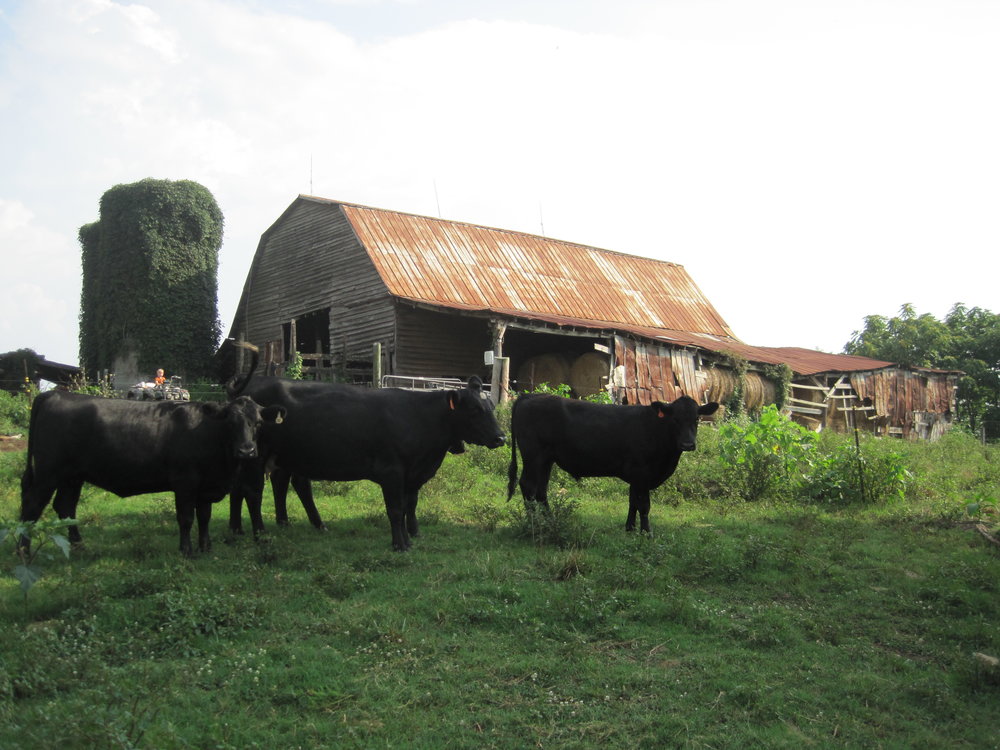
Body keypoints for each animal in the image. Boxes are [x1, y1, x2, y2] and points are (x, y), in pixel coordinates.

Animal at [20, 391, 287, 556]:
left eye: (258, 423)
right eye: (230, 423)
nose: (247, 450)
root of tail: (55, 394)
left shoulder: (205, 486)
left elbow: (204, 517)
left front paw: (206, 547)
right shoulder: (185, 482)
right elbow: (186, 518)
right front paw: (187, 550)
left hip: (72, 476)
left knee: (66, 507)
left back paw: (78, 546)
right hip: (48, 473)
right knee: (32, 506)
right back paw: (23, 550)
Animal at [226, 375, 506, 551]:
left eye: (491, 406)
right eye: (475, 410)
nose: (501, 437)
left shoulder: (411, 475)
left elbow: (409, 507)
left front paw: (410, 538)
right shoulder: (392, 472)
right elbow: (396, 510)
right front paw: (400, 545)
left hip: (280, 456)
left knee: (269, 486)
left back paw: (246, 528)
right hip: (256, 455)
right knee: (253, 491)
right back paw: (260, 533)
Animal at [506, 394, 719, 533]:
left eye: (697, 418)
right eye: (675, 419)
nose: (688, 444)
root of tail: (530, 395)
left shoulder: (636, 476)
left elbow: (633, 502)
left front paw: (630, 528)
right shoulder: (642, 472)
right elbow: (644, 504)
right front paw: (646, 532)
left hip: (546, 460)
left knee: (541, 491)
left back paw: (548, 520)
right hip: (533, 455)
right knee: (528, 486)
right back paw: (533, 523)